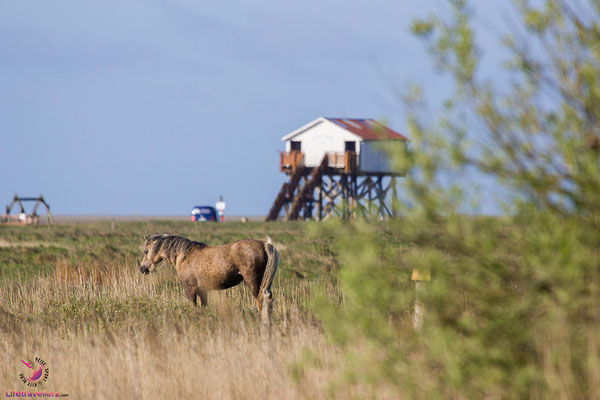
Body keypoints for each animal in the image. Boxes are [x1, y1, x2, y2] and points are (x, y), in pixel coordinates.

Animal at [137, 233, 278, 310]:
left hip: (253, 282)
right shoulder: (202, 291)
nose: (143, 269)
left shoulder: (190, 290)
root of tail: (265, 244)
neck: (184, 255)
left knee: (260, 301)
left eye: (146, 251)